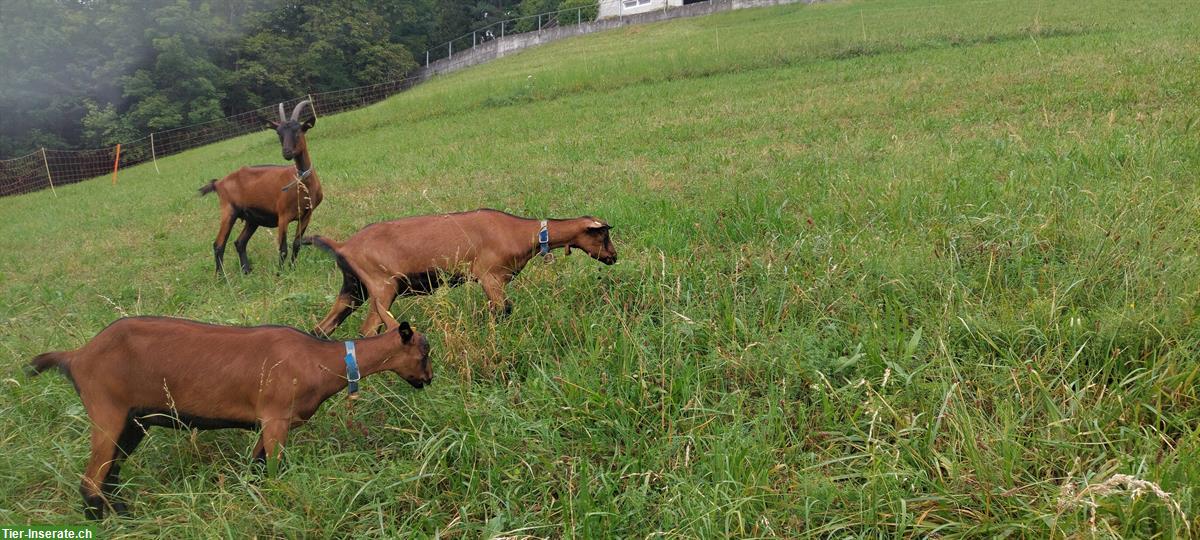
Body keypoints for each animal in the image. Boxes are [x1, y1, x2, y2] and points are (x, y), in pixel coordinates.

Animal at [25, 316, 432, 518]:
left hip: (132, 422)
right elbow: (273, 471)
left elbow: (255, 468)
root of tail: (76, 356)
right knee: (91, 481)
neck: (319, 359)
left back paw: (126, 514)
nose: (429, 380)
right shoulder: (275, 418)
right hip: (106, 411)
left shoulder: (266, 425)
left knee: (109, 475)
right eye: (424, 351)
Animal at [200, 100, 324, 274]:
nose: (286, 152)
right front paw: (280, 273)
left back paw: (246, 271)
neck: (302, 182)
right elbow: (283, 249)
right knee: (218, 244)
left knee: (239, 242)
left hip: (252, 218)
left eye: (298, 130)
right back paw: (221, 276)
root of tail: (218, 183)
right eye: (279, 133)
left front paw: (292, 268)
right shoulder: (283, 216)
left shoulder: (307, 214)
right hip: (228, 210)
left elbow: (296, 244)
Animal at [307, 208, 619, 336]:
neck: (520, 232)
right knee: (368, 329)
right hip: (382, 287)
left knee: (323, 329)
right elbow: (503, 309)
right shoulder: (490, 276)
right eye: (603, 234)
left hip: (353, 289)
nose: (613, 257)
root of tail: (343, 246)